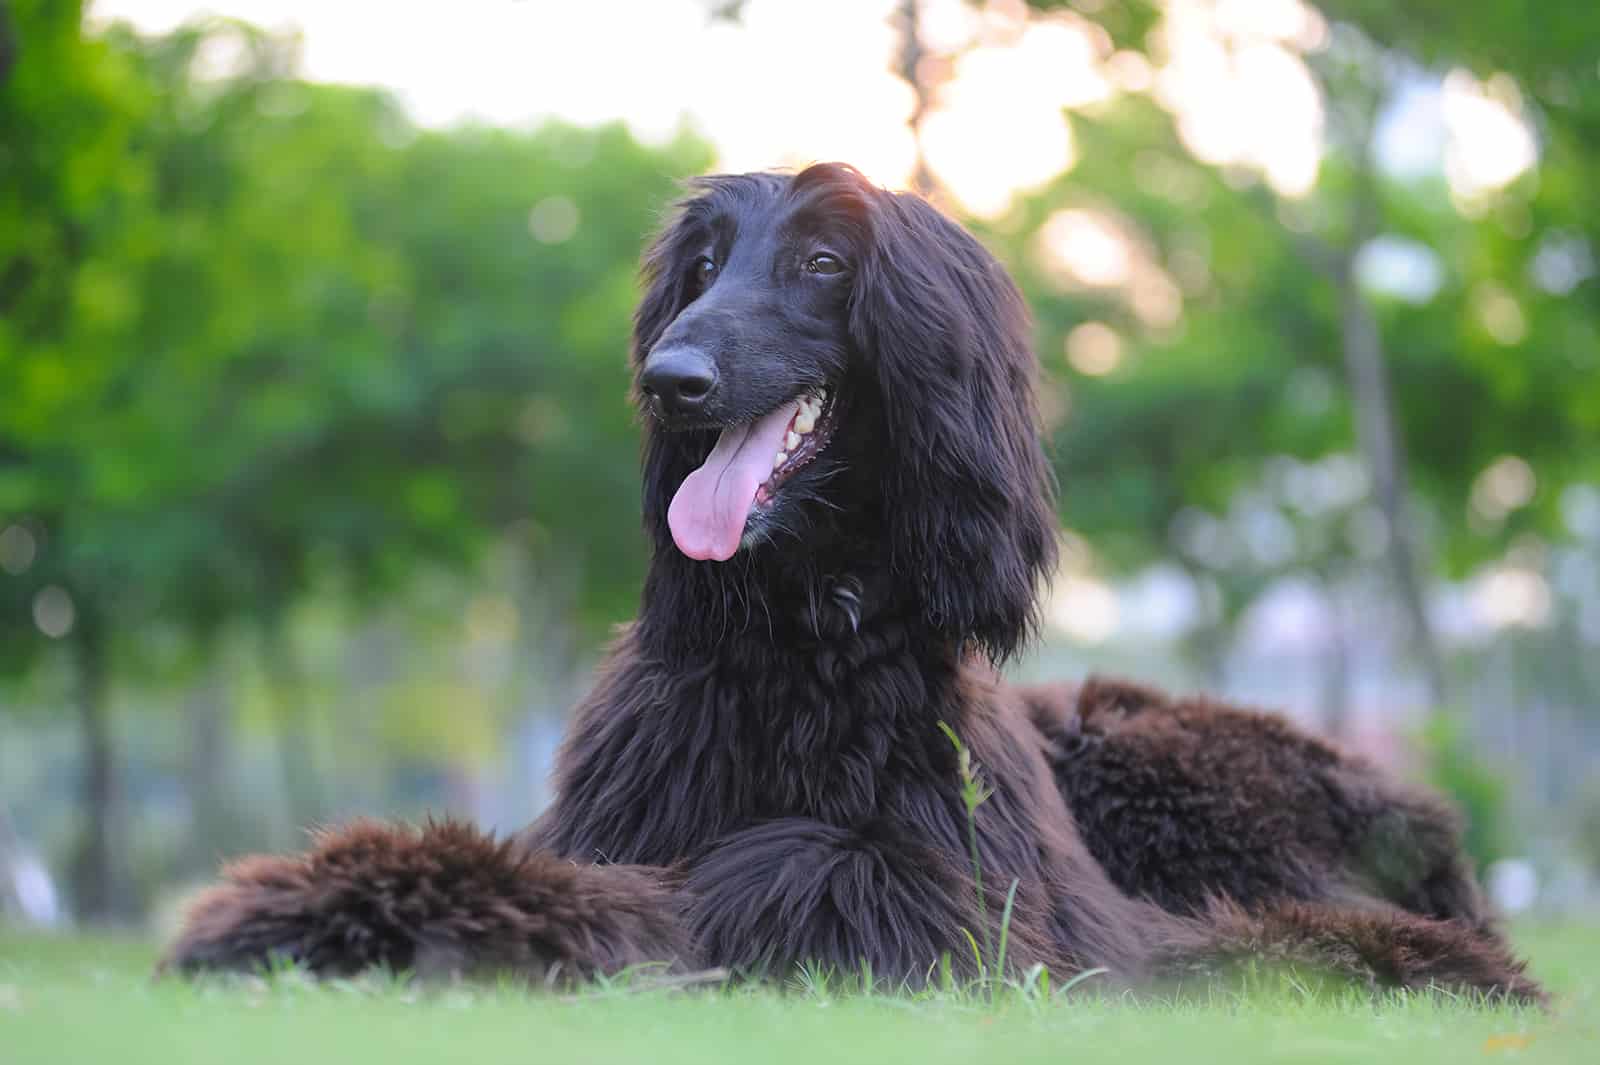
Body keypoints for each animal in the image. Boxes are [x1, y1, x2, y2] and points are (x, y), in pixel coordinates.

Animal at [162, 163, 1536, 997]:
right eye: (701, 265)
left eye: (825, 264)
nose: (670, 380)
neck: (797, 643)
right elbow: (615, 870)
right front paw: (333, 899)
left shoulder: (977, 907)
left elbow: (769, 872)